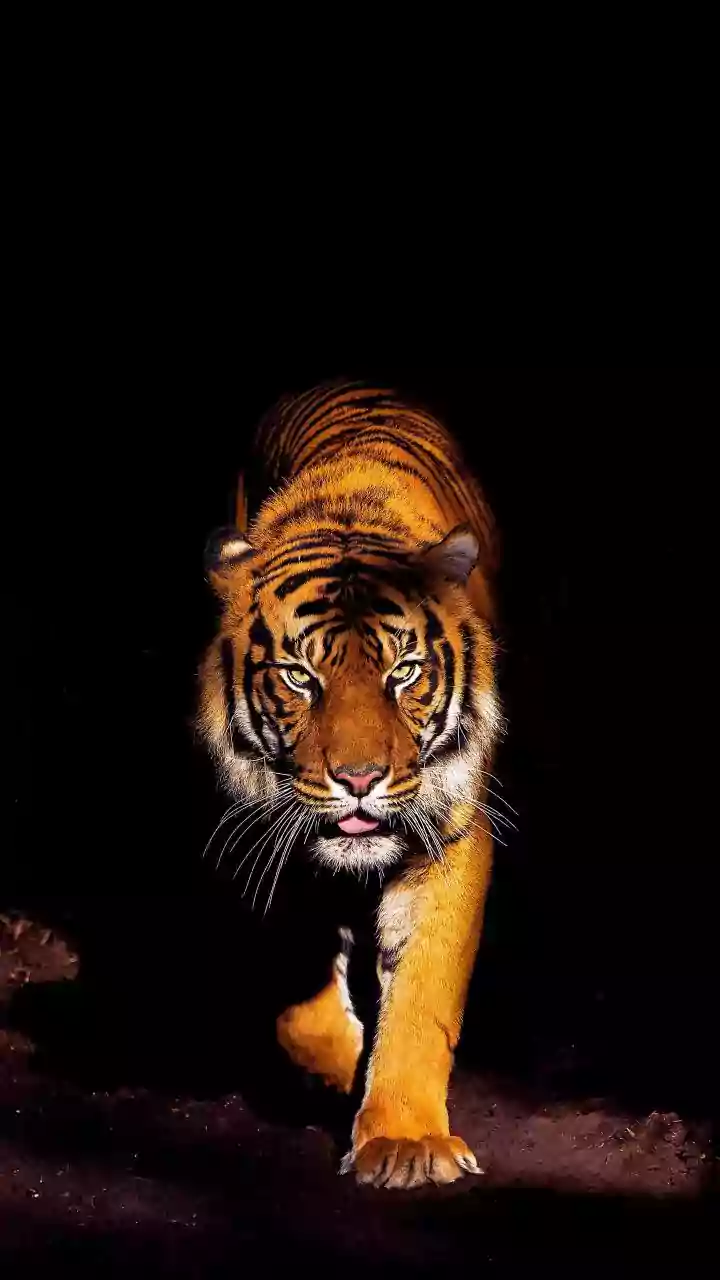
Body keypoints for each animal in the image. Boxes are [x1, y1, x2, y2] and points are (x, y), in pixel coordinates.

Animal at [198, 381, 504, 1189]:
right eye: (300, 676)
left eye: (404, 671)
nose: (360, 779)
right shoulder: (264, 830)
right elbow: (297, 994)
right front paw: (338, 1070)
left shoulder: (450, 829)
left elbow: (424, 993)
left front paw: (405, 1141)